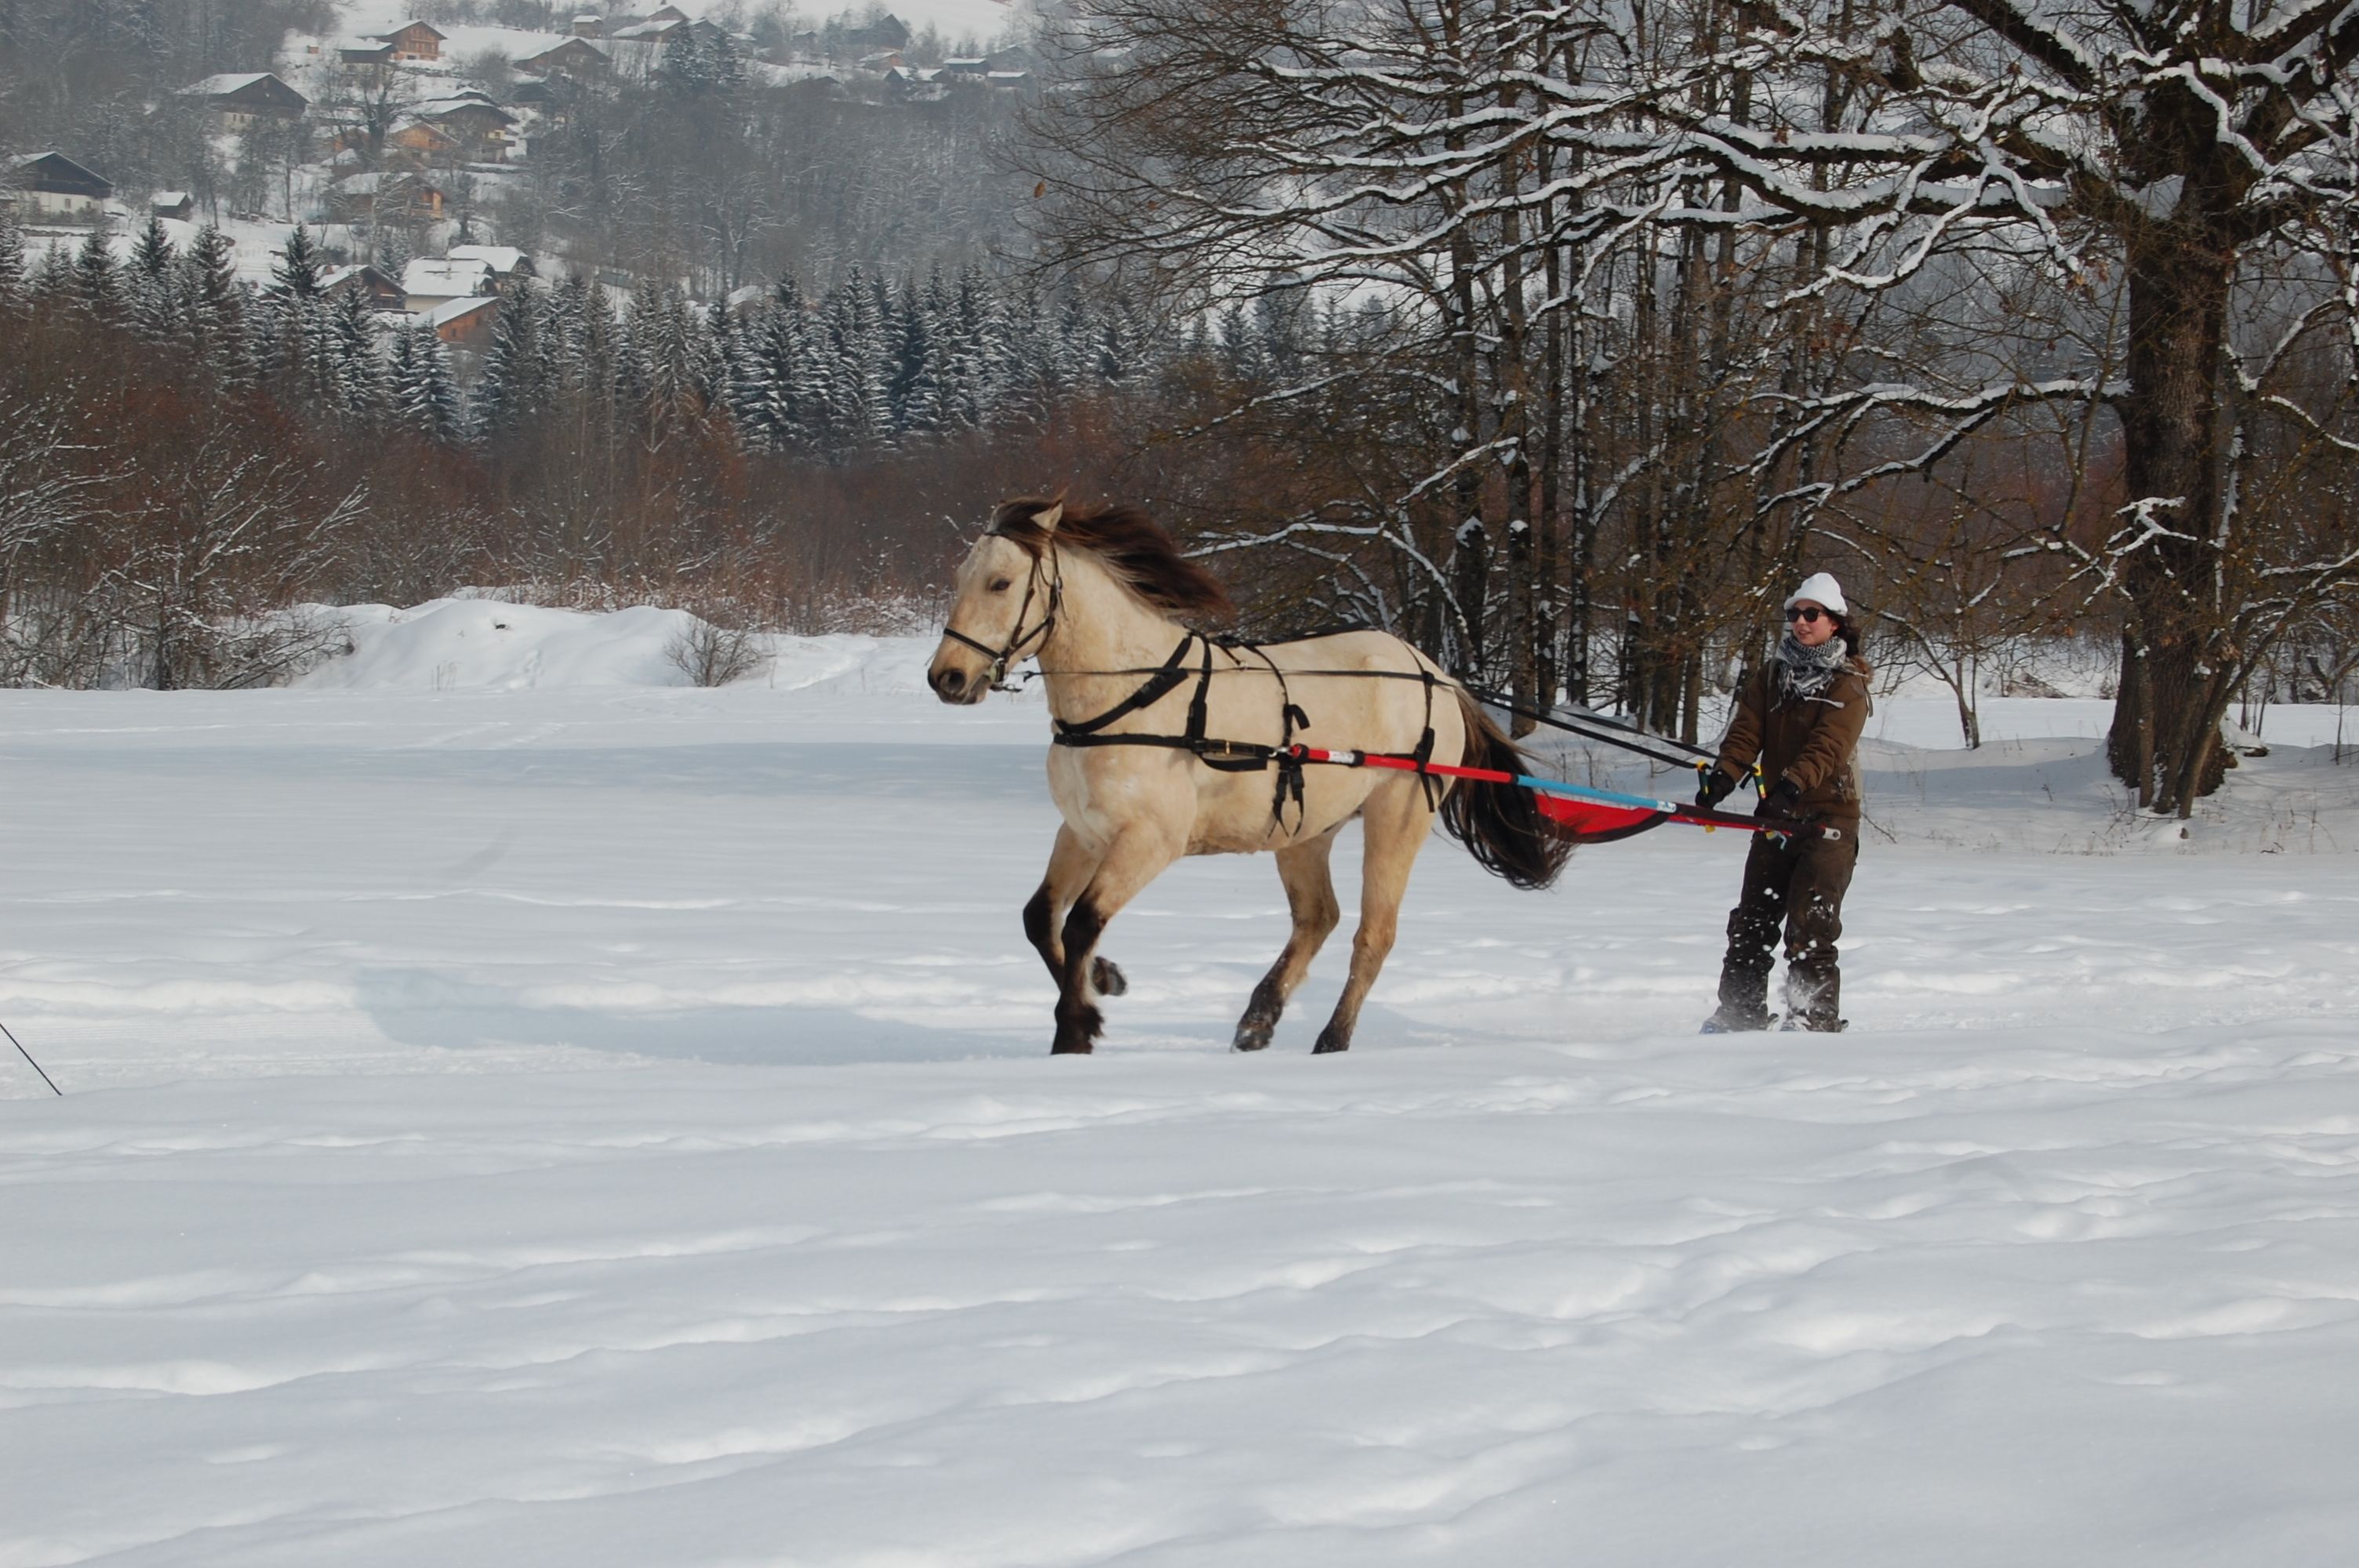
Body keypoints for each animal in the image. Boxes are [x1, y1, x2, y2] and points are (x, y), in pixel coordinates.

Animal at [927, 497, 1572, 1055]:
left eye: (1001, 583)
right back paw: (1259, 1017)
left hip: (1397, 817)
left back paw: (1332, 1039)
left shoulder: (1148, 842)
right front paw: (1104, 982)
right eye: (960, 576)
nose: (947, 678)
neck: (1132, 696)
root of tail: (1434, 672)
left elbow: (1083, 922)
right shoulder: (1083, 833)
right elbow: (1042, 920)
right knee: (1318, 917)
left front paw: (1076, 1027)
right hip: (1307, 829)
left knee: (1374, 933)